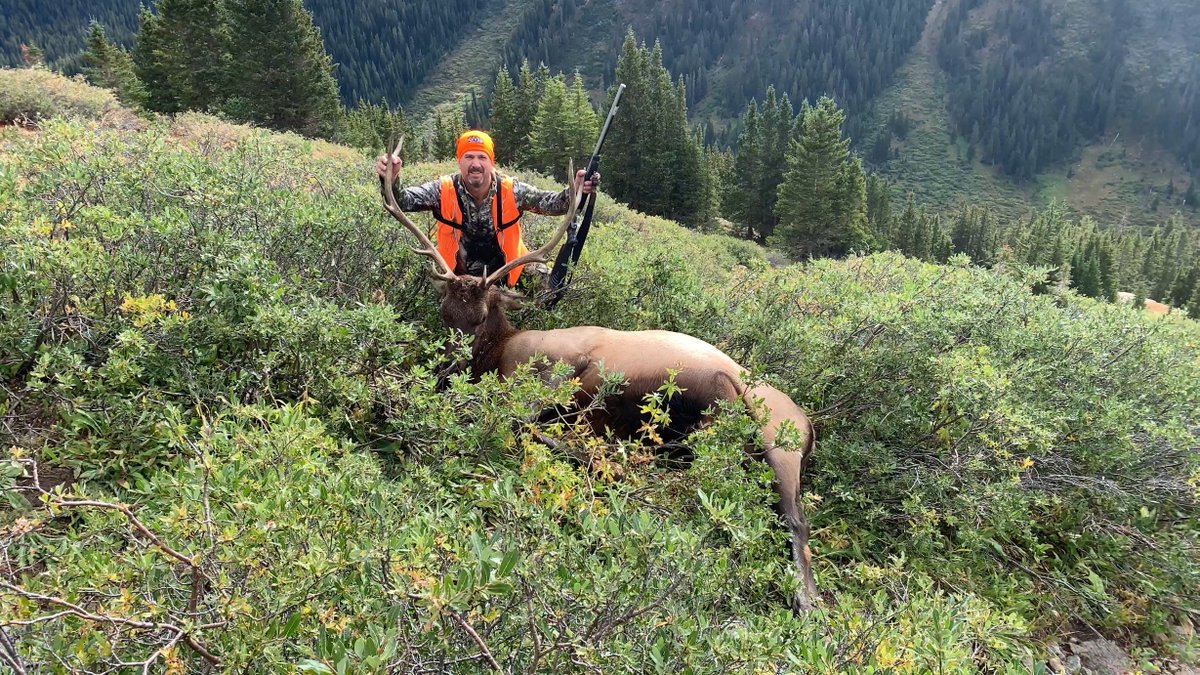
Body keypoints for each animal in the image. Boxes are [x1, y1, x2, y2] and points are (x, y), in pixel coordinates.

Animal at [379, 145, 819, 611]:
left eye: (480, 317)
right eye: (445, 313)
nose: (445, 370)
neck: (500, 351)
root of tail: (809, 428)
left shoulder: (556, 369)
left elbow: (520, 416)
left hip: (775, 442)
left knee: (794, 521)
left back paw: (806, 600)